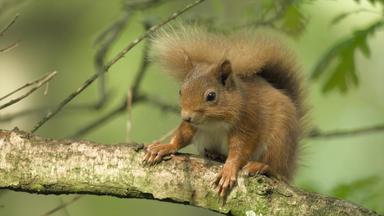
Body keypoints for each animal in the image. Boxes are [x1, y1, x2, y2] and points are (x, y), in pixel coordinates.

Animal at [142, 25, 308, 197]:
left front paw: (229, 170)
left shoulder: (247, 122)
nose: (186, 116)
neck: (213, 122)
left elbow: (240, 150)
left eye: (211, 96)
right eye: (180, 91)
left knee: (276, 169)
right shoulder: (193, 125)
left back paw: (260, 166)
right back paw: (216, 155)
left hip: (279, 141)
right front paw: (164, 147)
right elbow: (183, 135)